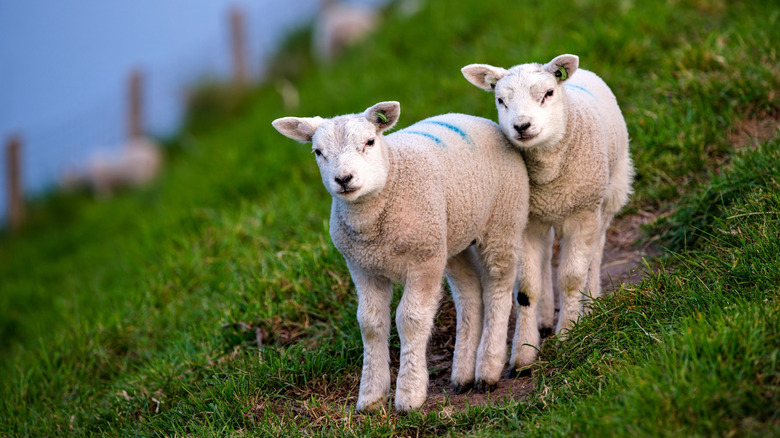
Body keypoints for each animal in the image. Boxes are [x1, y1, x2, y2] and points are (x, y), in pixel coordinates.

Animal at [272, 101, 529, 411]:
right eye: (318, 152)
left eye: (370, 142)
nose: (343, 179)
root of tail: (472, 117)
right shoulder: (362, 266)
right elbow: (370, 324)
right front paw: (371, 396)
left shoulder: (423, 260)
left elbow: (410, 319)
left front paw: (409, 394)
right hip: (451, 237)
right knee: (468, 293)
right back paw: (463, 375)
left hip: (503, 219)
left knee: (498, 286)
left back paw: (488, 369)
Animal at [462, 54, 633, 371]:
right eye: (500, 100)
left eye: (548, 93)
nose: (522, 125)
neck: (549, 176)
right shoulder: (528, 221)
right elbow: (527, 288)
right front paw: (524, 353)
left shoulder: (582, 214)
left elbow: (571, 279)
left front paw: (568, 335)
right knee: (544, 260)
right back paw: (543, 320)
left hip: (610, 193)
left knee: (596, 252)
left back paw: (591, 304)